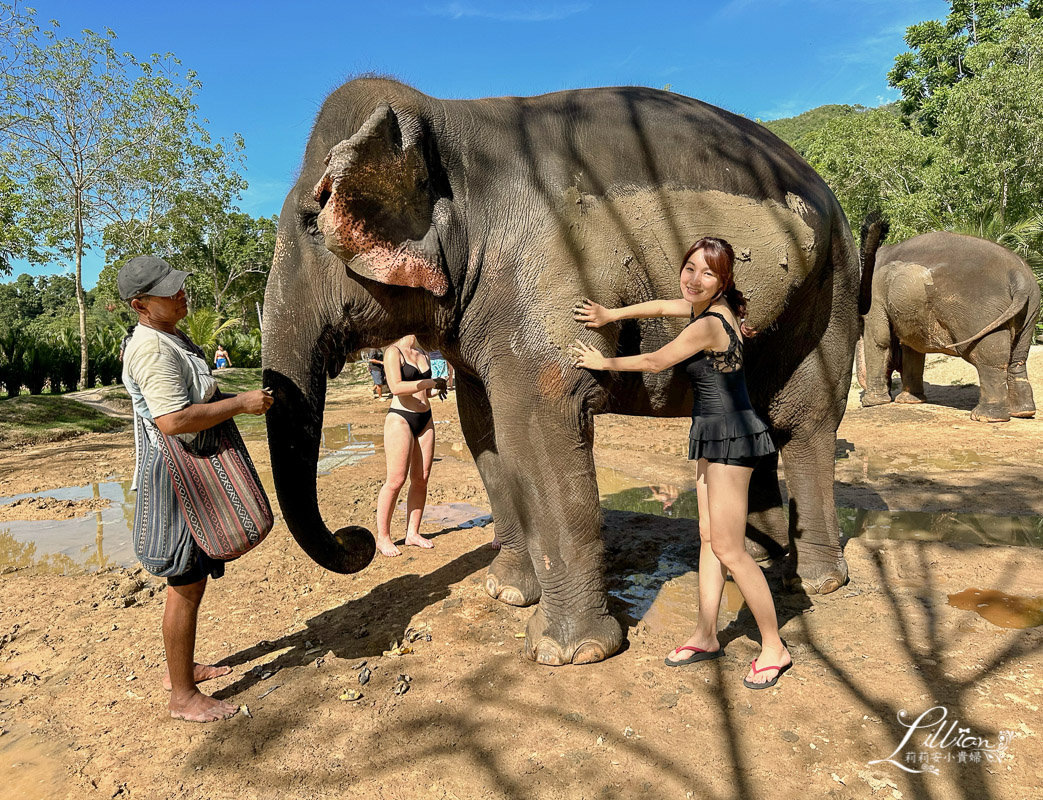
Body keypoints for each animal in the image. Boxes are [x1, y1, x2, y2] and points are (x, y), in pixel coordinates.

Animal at [262, 78, 863, 667]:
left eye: (314, 220)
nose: (360, 540)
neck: (446, 117)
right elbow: (485, 430)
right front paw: (507, 593)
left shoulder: (544, 271)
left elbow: (537, 424)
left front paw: (570, 651)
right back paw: (758, 554)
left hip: (833, 286)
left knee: (802, 421)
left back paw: (810, 580)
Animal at [859, 228, 1038, 421]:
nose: (863, 396)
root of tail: (1018, 273)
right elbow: (912, 346)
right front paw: (909, 401)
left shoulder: (874, 295)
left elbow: (879, 339)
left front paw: (871, 403)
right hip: (1030, 311)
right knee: (1018, 358)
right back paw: (1023, 412)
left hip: (982, 313)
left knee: (988, 358)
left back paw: (985, 417)